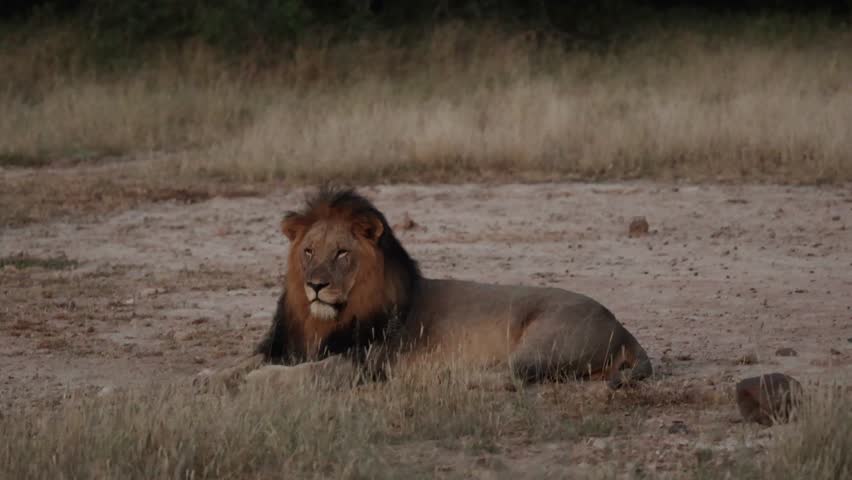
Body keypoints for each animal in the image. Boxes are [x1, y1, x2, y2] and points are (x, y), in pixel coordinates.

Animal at [200, 187, 652, 391]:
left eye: (342, 253)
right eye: (308, 251)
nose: (315, 285)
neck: (323, 321)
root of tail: (623, 328)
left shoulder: (361, 363)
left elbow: (305, 372)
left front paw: (260, 380)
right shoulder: (287, 343)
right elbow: (244, 360)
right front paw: (208, 375)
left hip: (544, 339)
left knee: (514, 375)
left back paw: (454, 377)